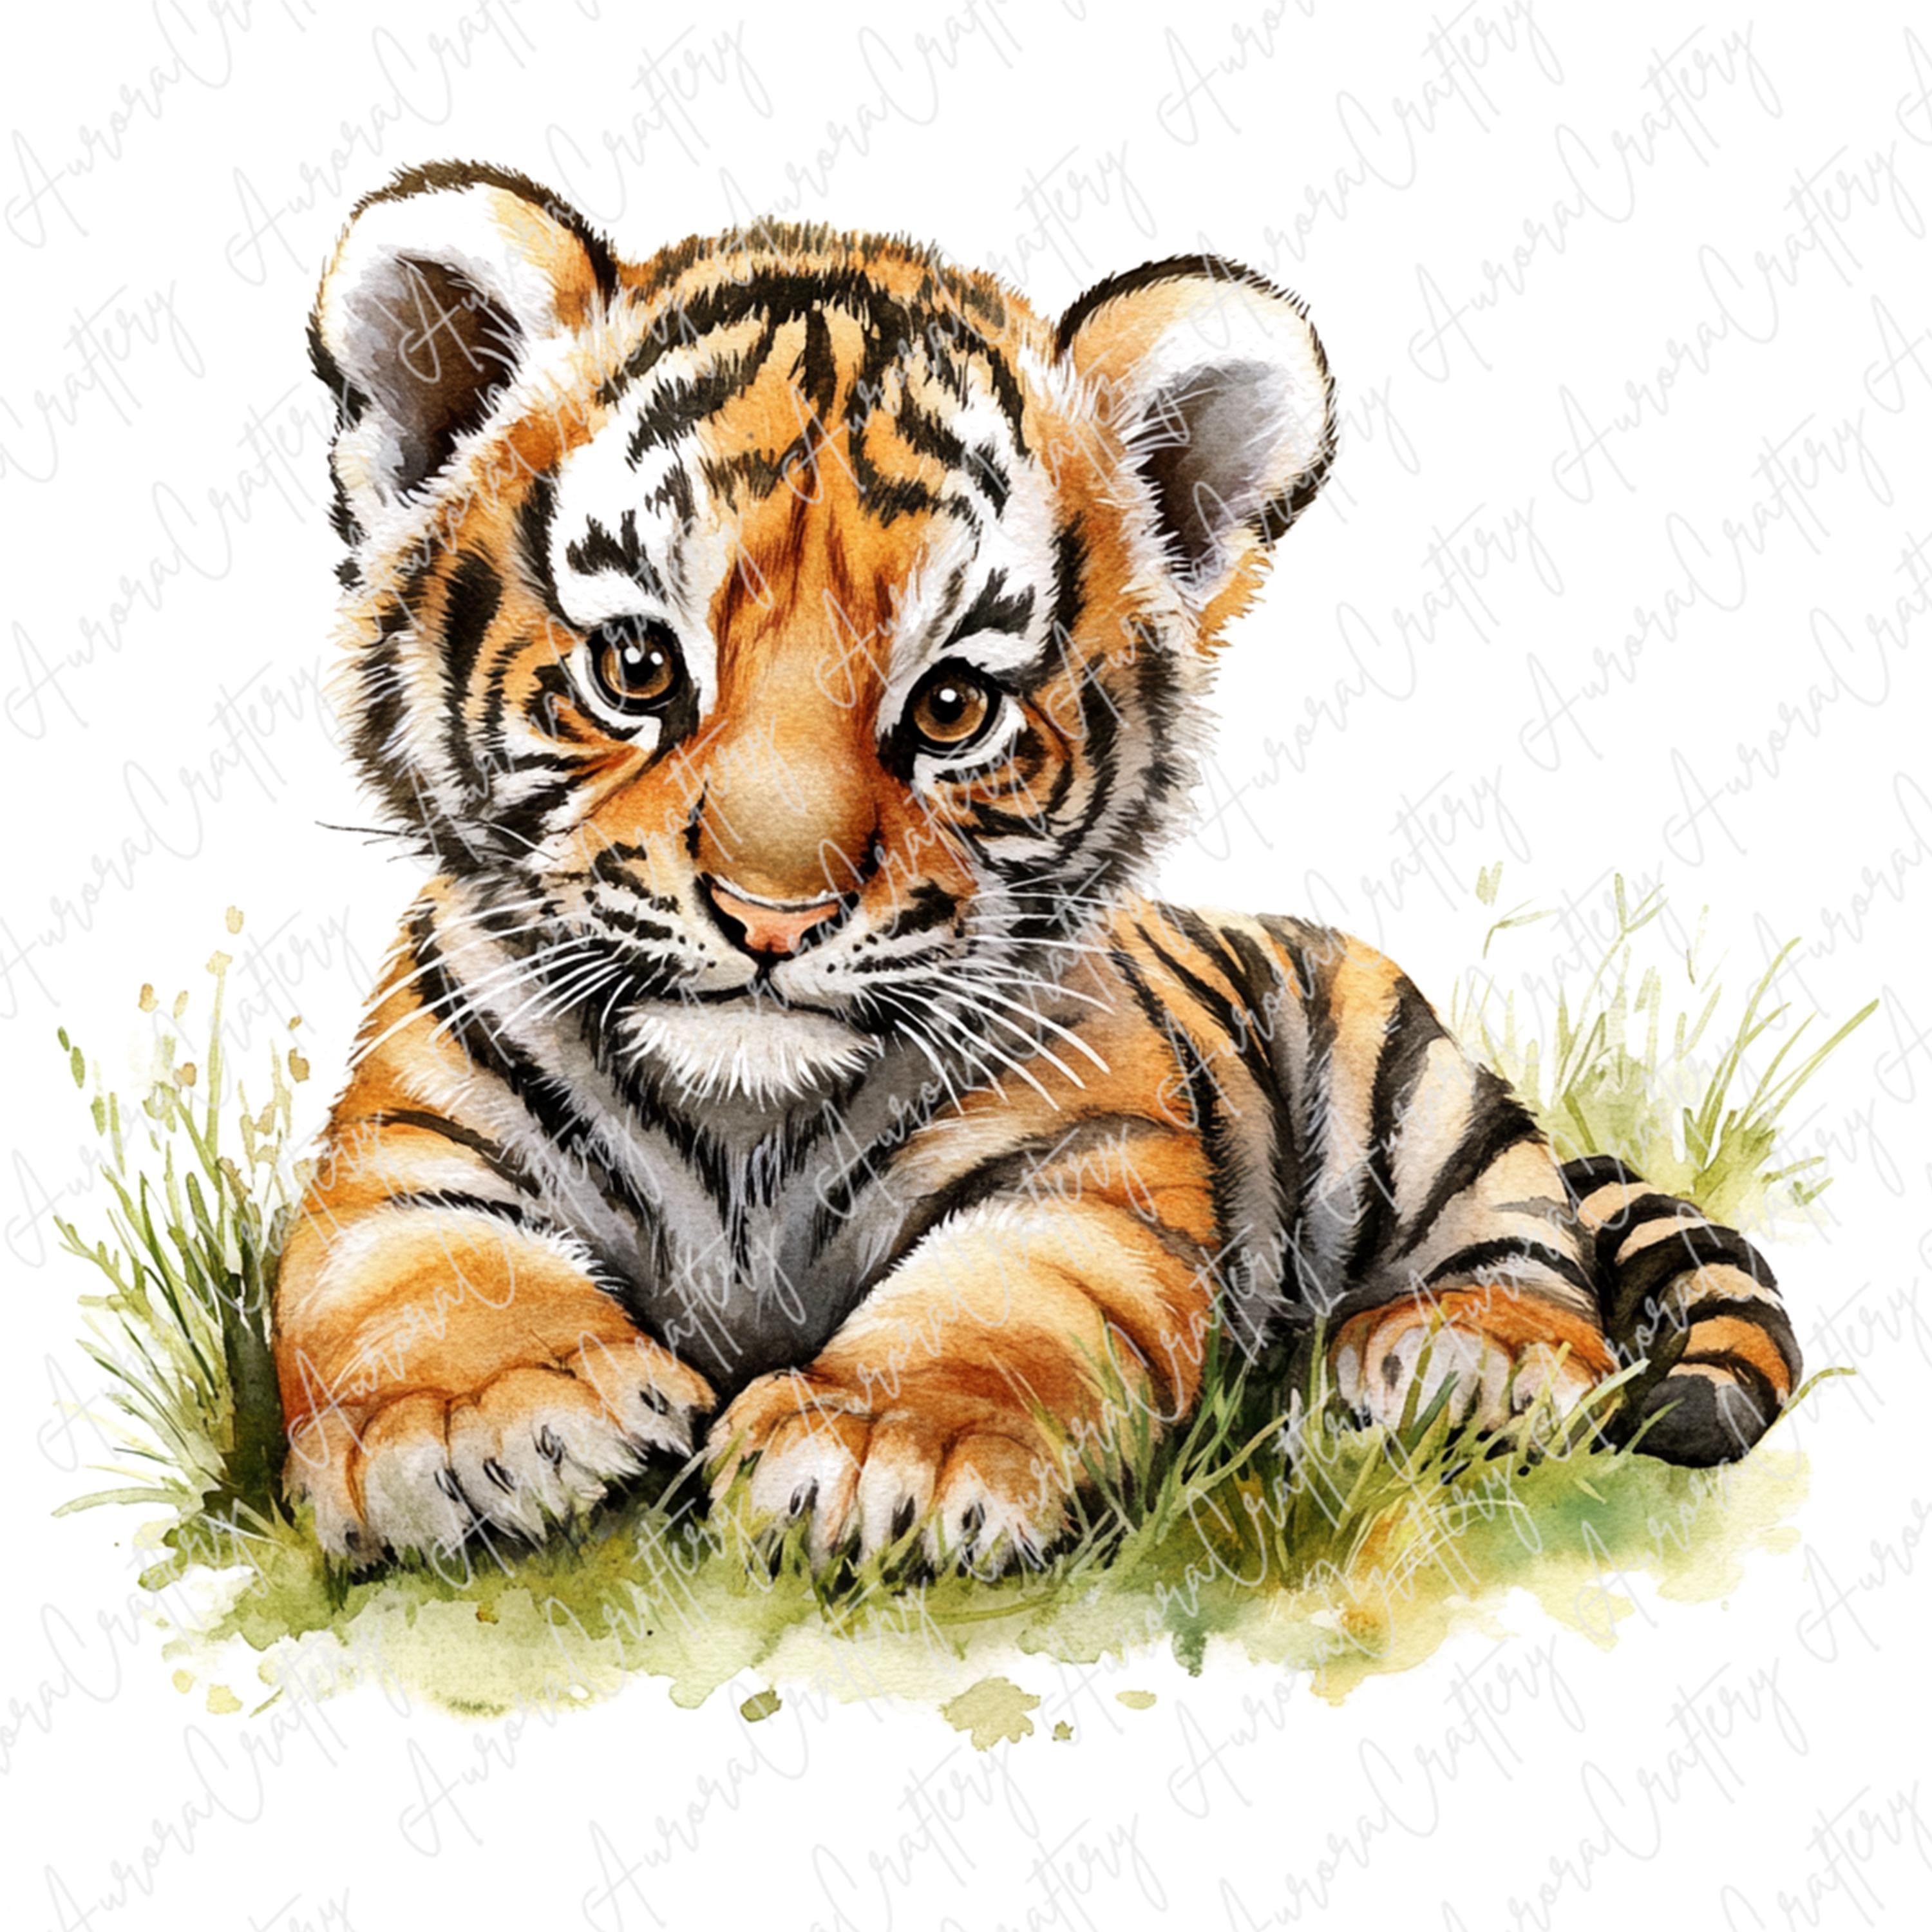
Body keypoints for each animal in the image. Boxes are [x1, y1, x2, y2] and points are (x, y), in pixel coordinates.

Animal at [274, 160, 1801, 1573]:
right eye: (637, 666)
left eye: (953, 706)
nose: (773, 918)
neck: (743, 1136)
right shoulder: (404, 1148)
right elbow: (410, 1282)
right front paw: (490, 1419)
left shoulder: (1087, 1174)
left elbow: (1001, 1307)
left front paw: (881, 1448)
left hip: (1413, 1090)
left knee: (1533, 1259)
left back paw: (1459, 1358)